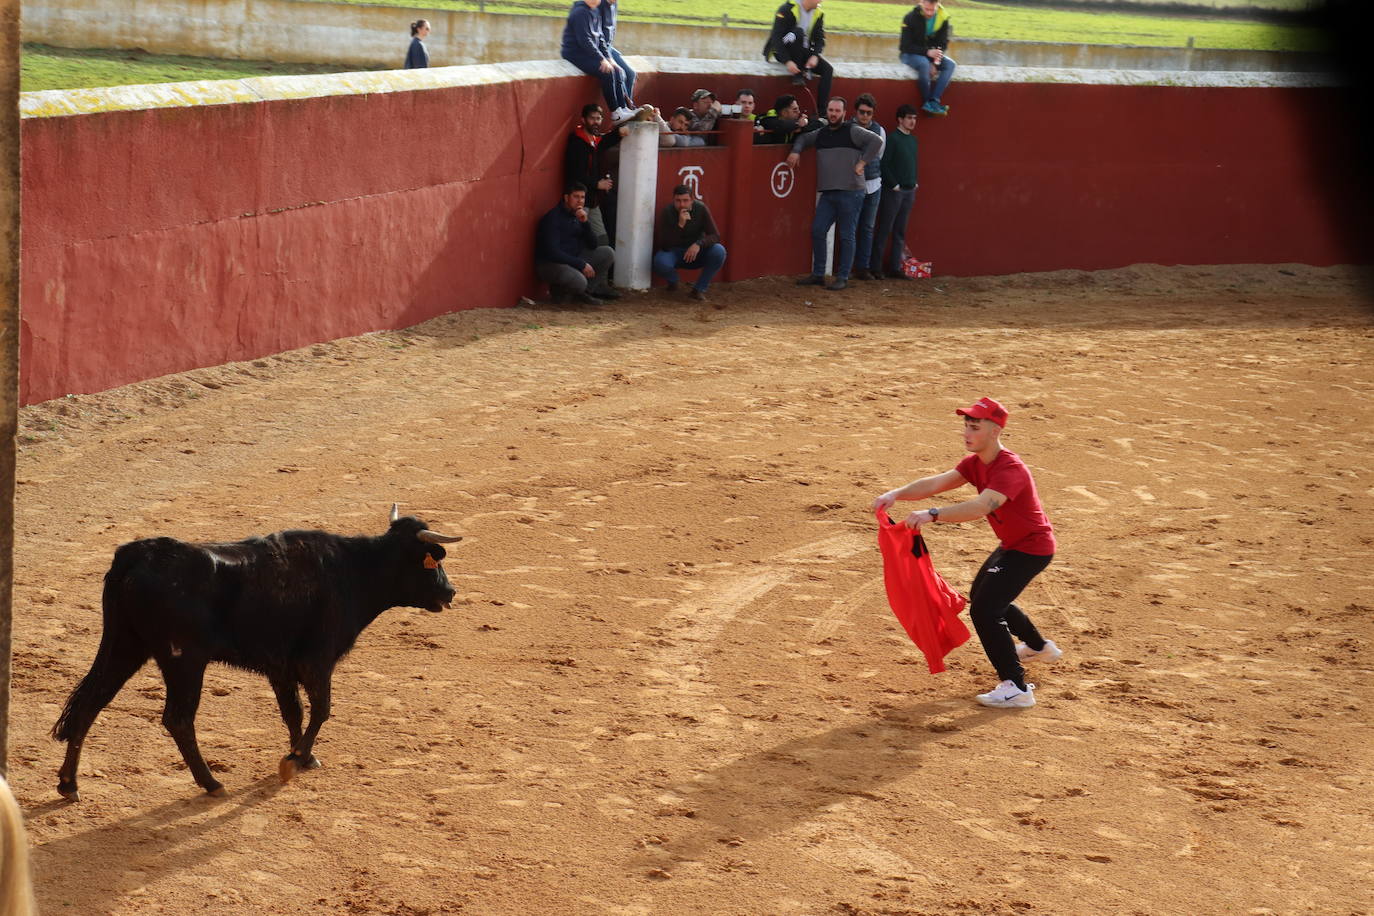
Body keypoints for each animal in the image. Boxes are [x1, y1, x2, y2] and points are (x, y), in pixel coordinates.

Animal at [53, 505, 461, 796]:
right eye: (433, 562)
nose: (450, 592)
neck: (354, 571)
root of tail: (135, 556)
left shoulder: (280, 667)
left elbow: (294, 713)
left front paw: (305, 756)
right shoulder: (316, 661)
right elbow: (322, 710)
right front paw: (293, 760)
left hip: (126, 646)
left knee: (90, 703)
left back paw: (69, 784)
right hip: (184, 661)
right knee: (178, 719)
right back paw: (212, 783)